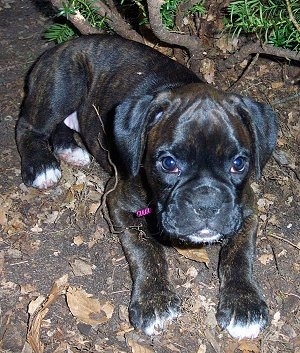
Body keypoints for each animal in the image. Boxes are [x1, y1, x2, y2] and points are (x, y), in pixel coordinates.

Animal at [16, 34, 278, 336]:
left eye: (238, 163)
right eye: (168, 163)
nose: (207, 204)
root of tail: (60, 46)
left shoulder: (246, 210)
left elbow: (240, 253)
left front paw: (244, 304)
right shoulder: (120, 203)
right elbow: (147, 251)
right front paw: (155, 302)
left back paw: (70, 150)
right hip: (62, 89)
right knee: (28, 127)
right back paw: (41, 166)